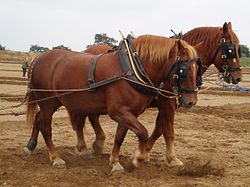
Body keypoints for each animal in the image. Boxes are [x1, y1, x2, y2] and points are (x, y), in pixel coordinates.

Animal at [24, 34, 199, 172]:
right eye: (183, 70)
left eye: (197, 66)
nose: (191, 101)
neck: (131, 69)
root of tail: (37, 59)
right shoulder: (119, 112)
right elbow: (144, 132)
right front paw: (136, 159)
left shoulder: (128, 112)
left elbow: (119, 137)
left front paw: (115, 162)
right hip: (48, 103)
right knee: (46, 129)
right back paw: (56, 158)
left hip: (53, 103)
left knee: (39, 118)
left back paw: (31, 145)